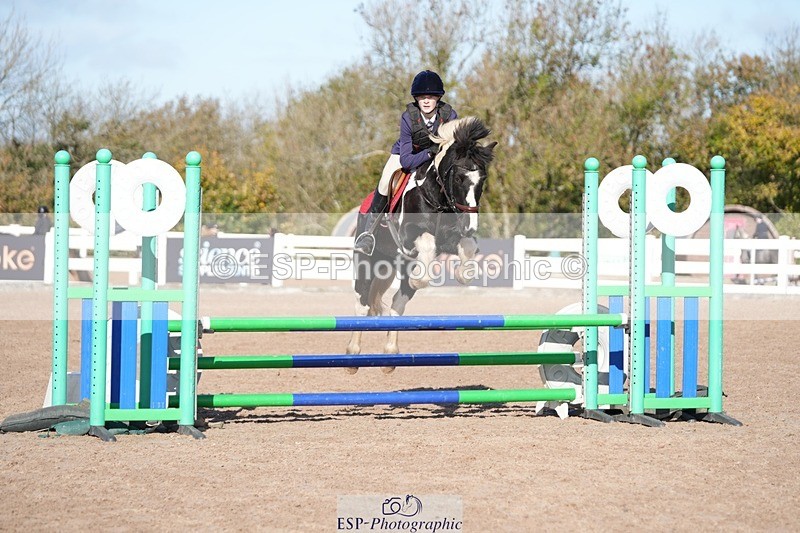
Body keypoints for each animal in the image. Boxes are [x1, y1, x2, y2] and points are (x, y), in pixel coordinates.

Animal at [346, 116, 497, 367]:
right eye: (459, 177)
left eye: (482, 180)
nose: (470, 226)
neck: (436, 196)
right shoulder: (408, 238)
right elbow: (426, 243)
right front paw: (419, 279)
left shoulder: (450, 239)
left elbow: (467, 246)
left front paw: (462, 275)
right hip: (368, 261)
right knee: (362, 301)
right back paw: (352, 353)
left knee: (397, 303)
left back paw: (390, 353)